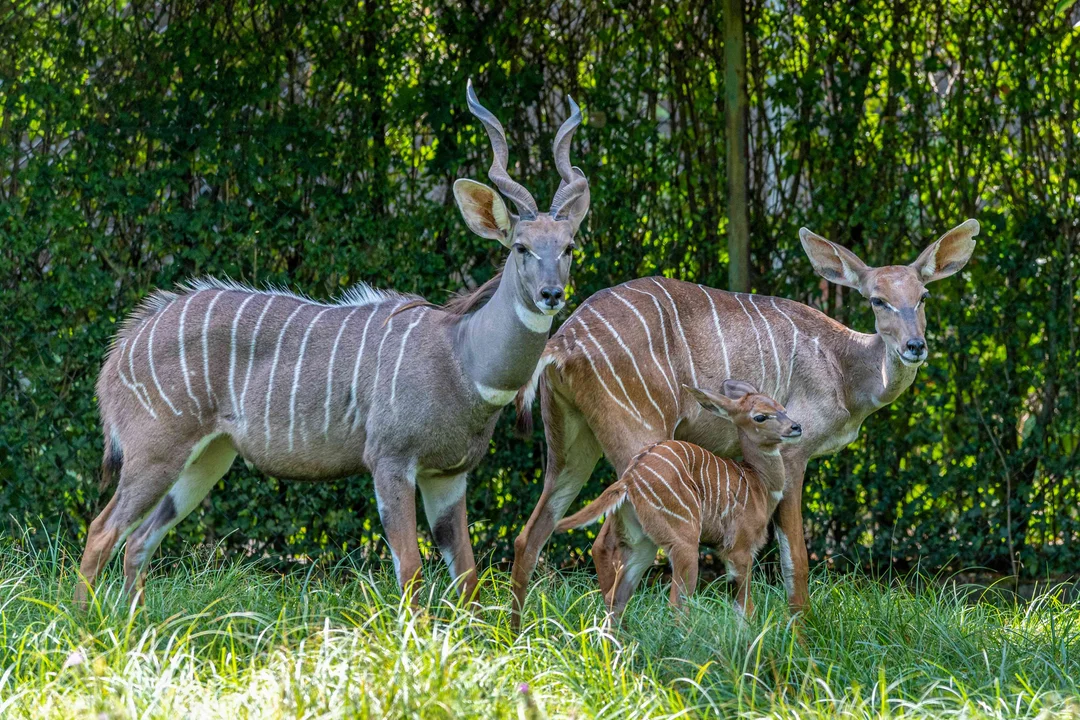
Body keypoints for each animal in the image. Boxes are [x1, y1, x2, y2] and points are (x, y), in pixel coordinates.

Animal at [557, 379, 803, 621]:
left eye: (783, 408)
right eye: (760, 416)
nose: (796, 427)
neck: (759, 483)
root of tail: (629, 480)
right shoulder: (740, 547)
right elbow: (745, 610)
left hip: (641, 541)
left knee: (615, 597)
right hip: (684, 539)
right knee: (676, 603)